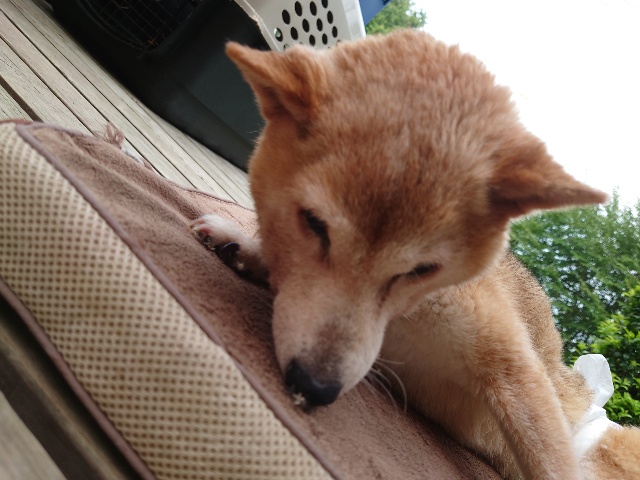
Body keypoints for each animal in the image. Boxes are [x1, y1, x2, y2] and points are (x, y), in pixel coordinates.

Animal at [191, 30, 640, 479]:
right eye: (314, 224)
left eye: (423, 269)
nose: (314, 387)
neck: (401, 320)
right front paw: (243, 246)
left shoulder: (513, 367)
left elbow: (550, 463)